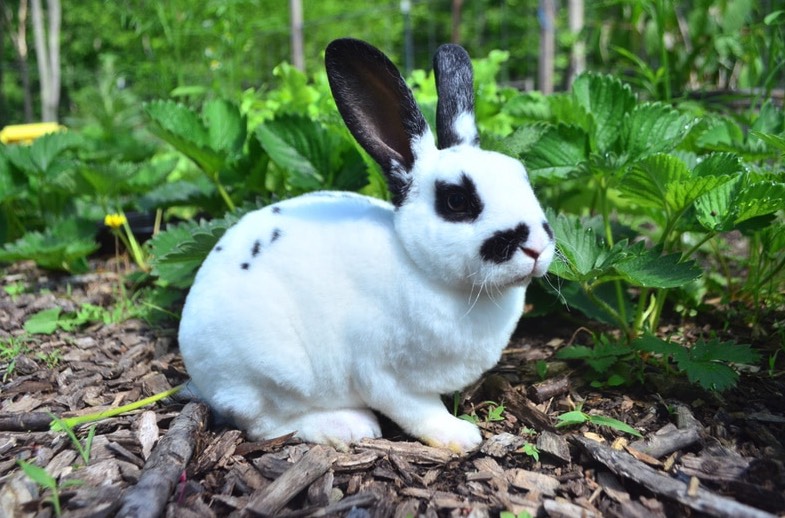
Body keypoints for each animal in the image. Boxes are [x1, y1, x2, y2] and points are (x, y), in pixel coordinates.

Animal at [179, 39, 552, 456]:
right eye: (456, 201)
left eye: (522, 176)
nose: (536, 246)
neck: (422, 268)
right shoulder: (380, 373)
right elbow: (418, 411)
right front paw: (460, 436)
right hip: (271, 373)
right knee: (265, 424)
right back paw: (347, 426)